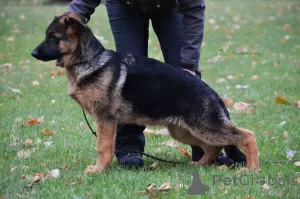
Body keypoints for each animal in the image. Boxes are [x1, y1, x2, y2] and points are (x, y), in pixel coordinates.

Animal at [32, 12, 258, 174]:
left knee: (247, 136)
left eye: (53, 38)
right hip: (185, 131)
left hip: (203, 127)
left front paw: (98, 170)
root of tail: (213, 93)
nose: (33, 53)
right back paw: (200, 165)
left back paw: (252, 168)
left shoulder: (105, 119)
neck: (90, 60)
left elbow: (103, 148)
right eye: (47, 36)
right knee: (213, 147)